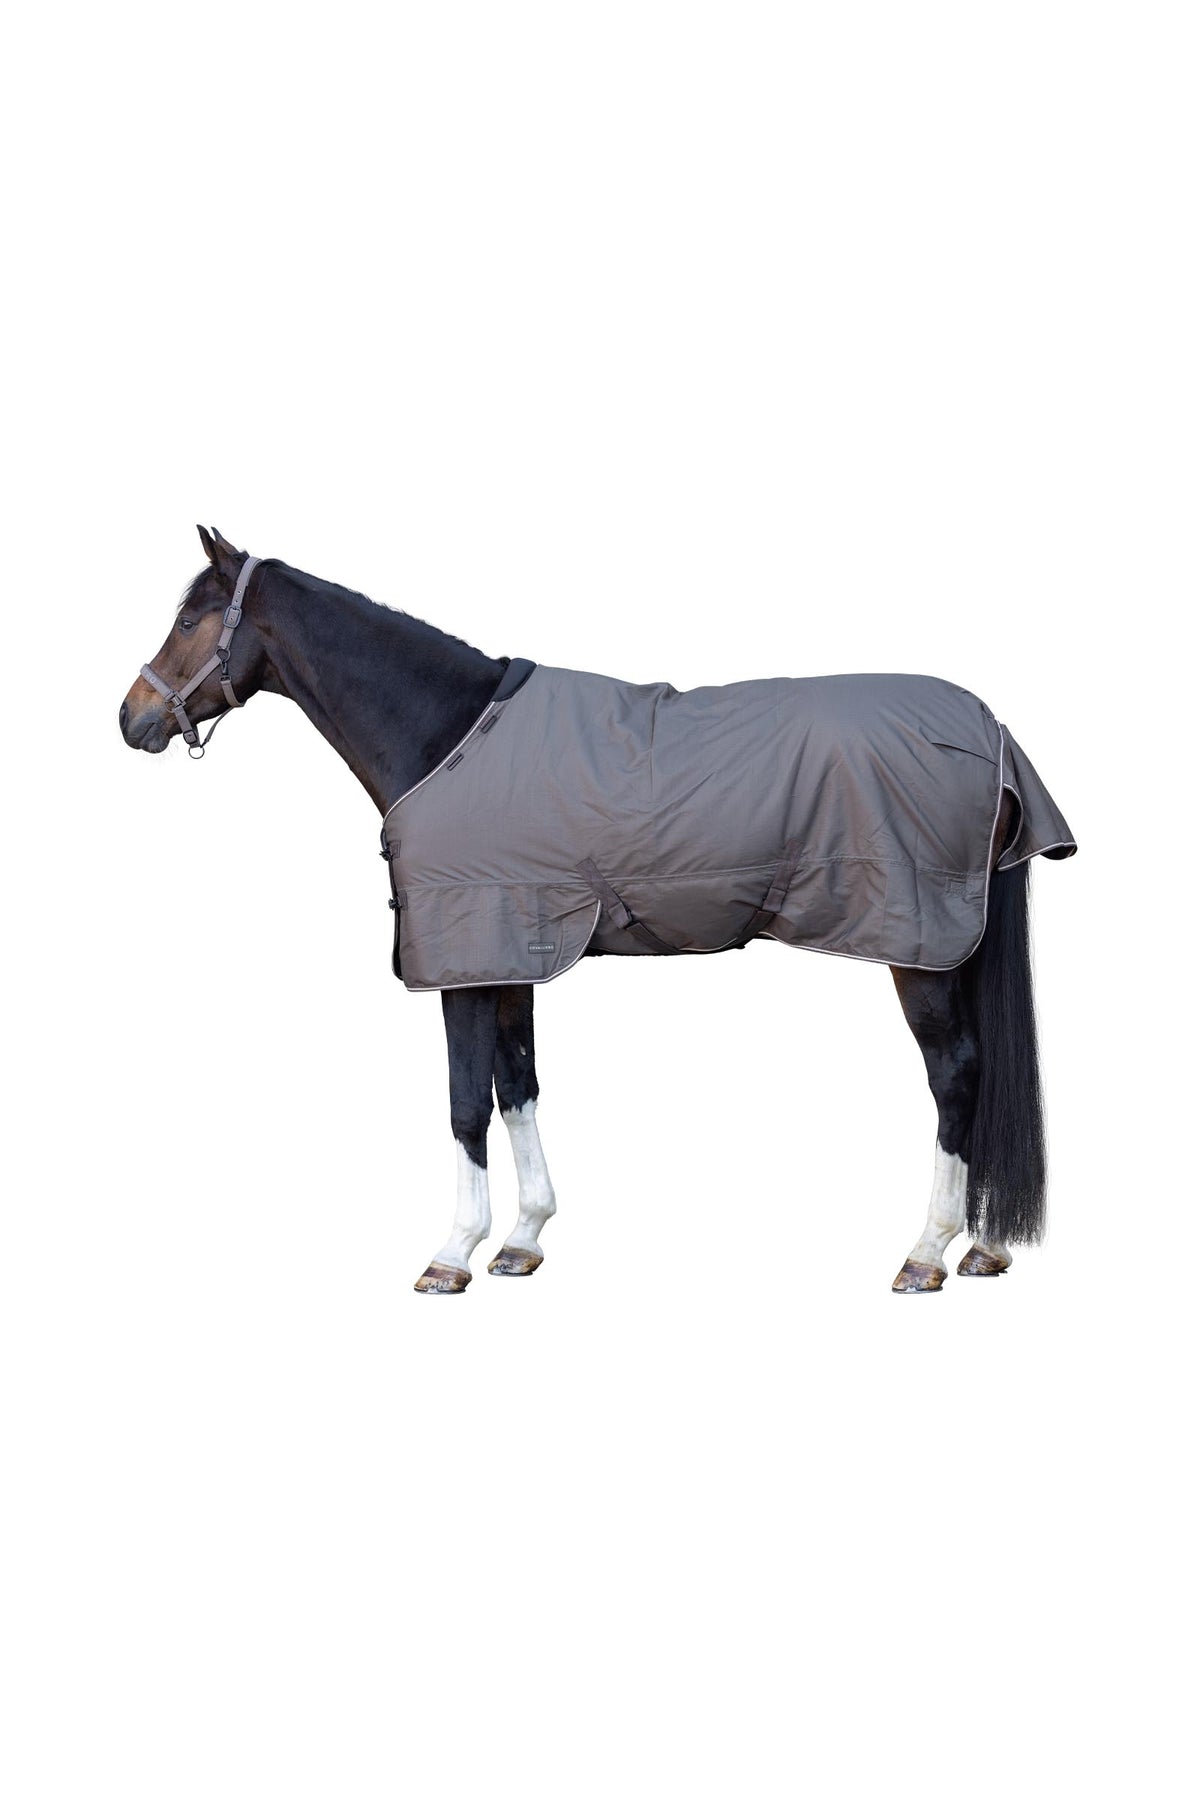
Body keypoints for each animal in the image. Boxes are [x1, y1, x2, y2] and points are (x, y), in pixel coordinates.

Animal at [120, 527, 1075, 1295]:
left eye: (192, 620)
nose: (132, 720)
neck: (449, 735)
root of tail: (991, 732)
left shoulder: (465, 960)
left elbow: (466, 1105)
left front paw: (453, 1254)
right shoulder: (510, 955)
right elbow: (519, 1088)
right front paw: (523, 1239)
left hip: (921, 951)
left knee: (956, 1075)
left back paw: (926, 1253)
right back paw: (983, 1249)